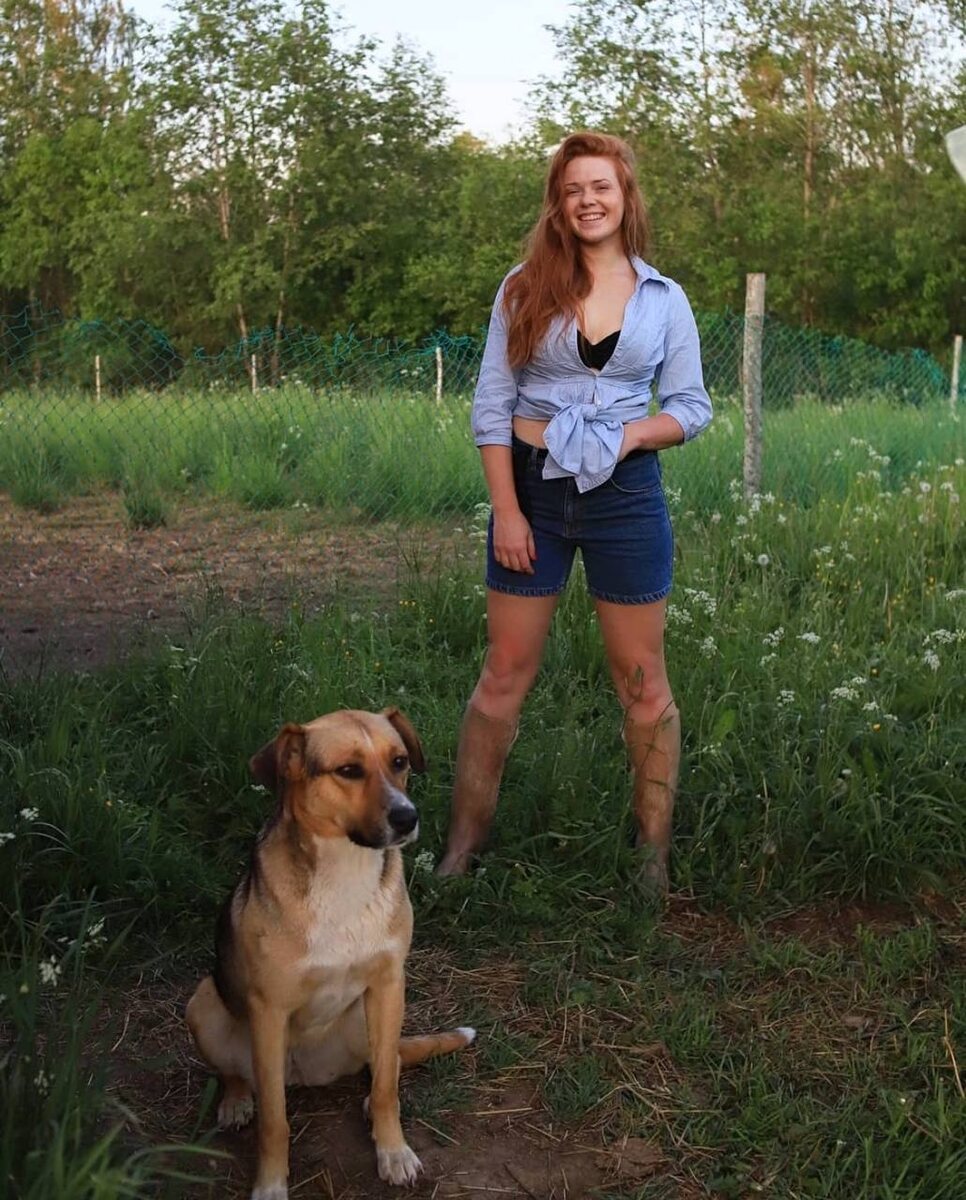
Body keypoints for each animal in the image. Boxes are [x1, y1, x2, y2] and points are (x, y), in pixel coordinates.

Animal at [186, 708, 475, 1198]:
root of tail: (308, 1073)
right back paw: (237, 1100)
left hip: (368, 1017)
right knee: (238, 1075)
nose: (408, 817)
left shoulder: (389, 983)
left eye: (399, 761)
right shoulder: (269, 1009)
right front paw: (270, 1184)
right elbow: (275, 1122)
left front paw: (393, 1151)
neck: (346, 870)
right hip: (203, 1002)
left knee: (388, 1063)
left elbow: (387, 1087)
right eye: (349, 770)